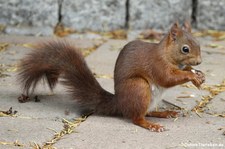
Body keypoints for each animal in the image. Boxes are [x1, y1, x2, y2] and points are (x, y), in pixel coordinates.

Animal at [18, 21, 204, 132]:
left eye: (199, 43)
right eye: (185, 49)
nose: (200, 62)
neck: (166, 54)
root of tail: (119, 102)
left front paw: (199, 75)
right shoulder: (157, 64)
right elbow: (166, 78)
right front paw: (192, 76)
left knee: (147, 112)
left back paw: (165, 113)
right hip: (139, 87)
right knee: (136, 117)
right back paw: (151, 125)